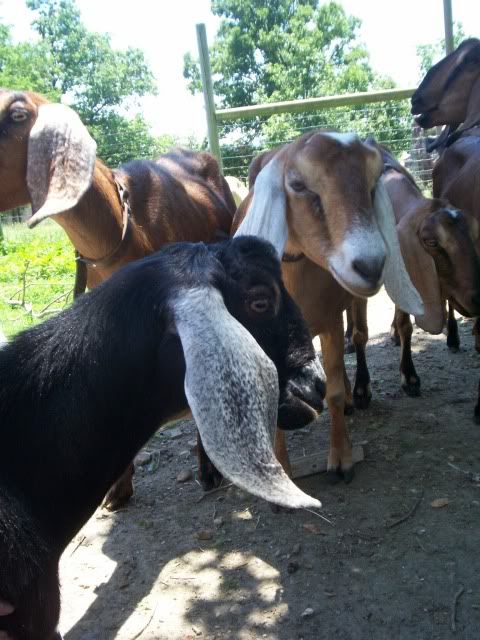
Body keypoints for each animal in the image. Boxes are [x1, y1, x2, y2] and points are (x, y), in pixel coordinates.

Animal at [232, 131, 423, 482]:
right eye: (297, 184)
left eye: (372, 181)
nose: (371, 265)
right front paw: (282, 470)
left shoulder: (331, 320)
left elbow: (332, 389)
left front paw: (342, 458)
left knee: (357, 338)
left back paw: (354, 394)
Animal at [345, 140, 480, 408]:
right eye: (431, 242)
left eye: (473, 235)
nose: (479, 298)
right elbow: (360, 333)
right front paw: (361, 389)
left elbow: (406, 326)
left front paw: (409, 377)